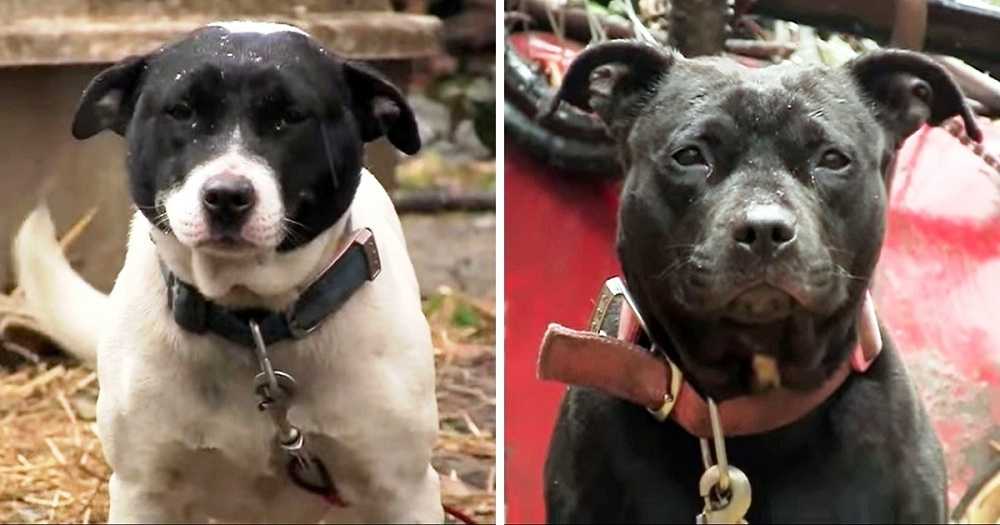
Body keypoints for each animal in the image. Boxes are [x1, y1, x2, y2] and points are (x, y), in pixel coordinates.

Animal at [15, 22, 444, 520]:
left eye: (291, 116)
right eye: (181, 111)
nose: (226, 196)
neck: (251, 322)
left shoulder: (404, 491)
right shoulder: (145, 490)